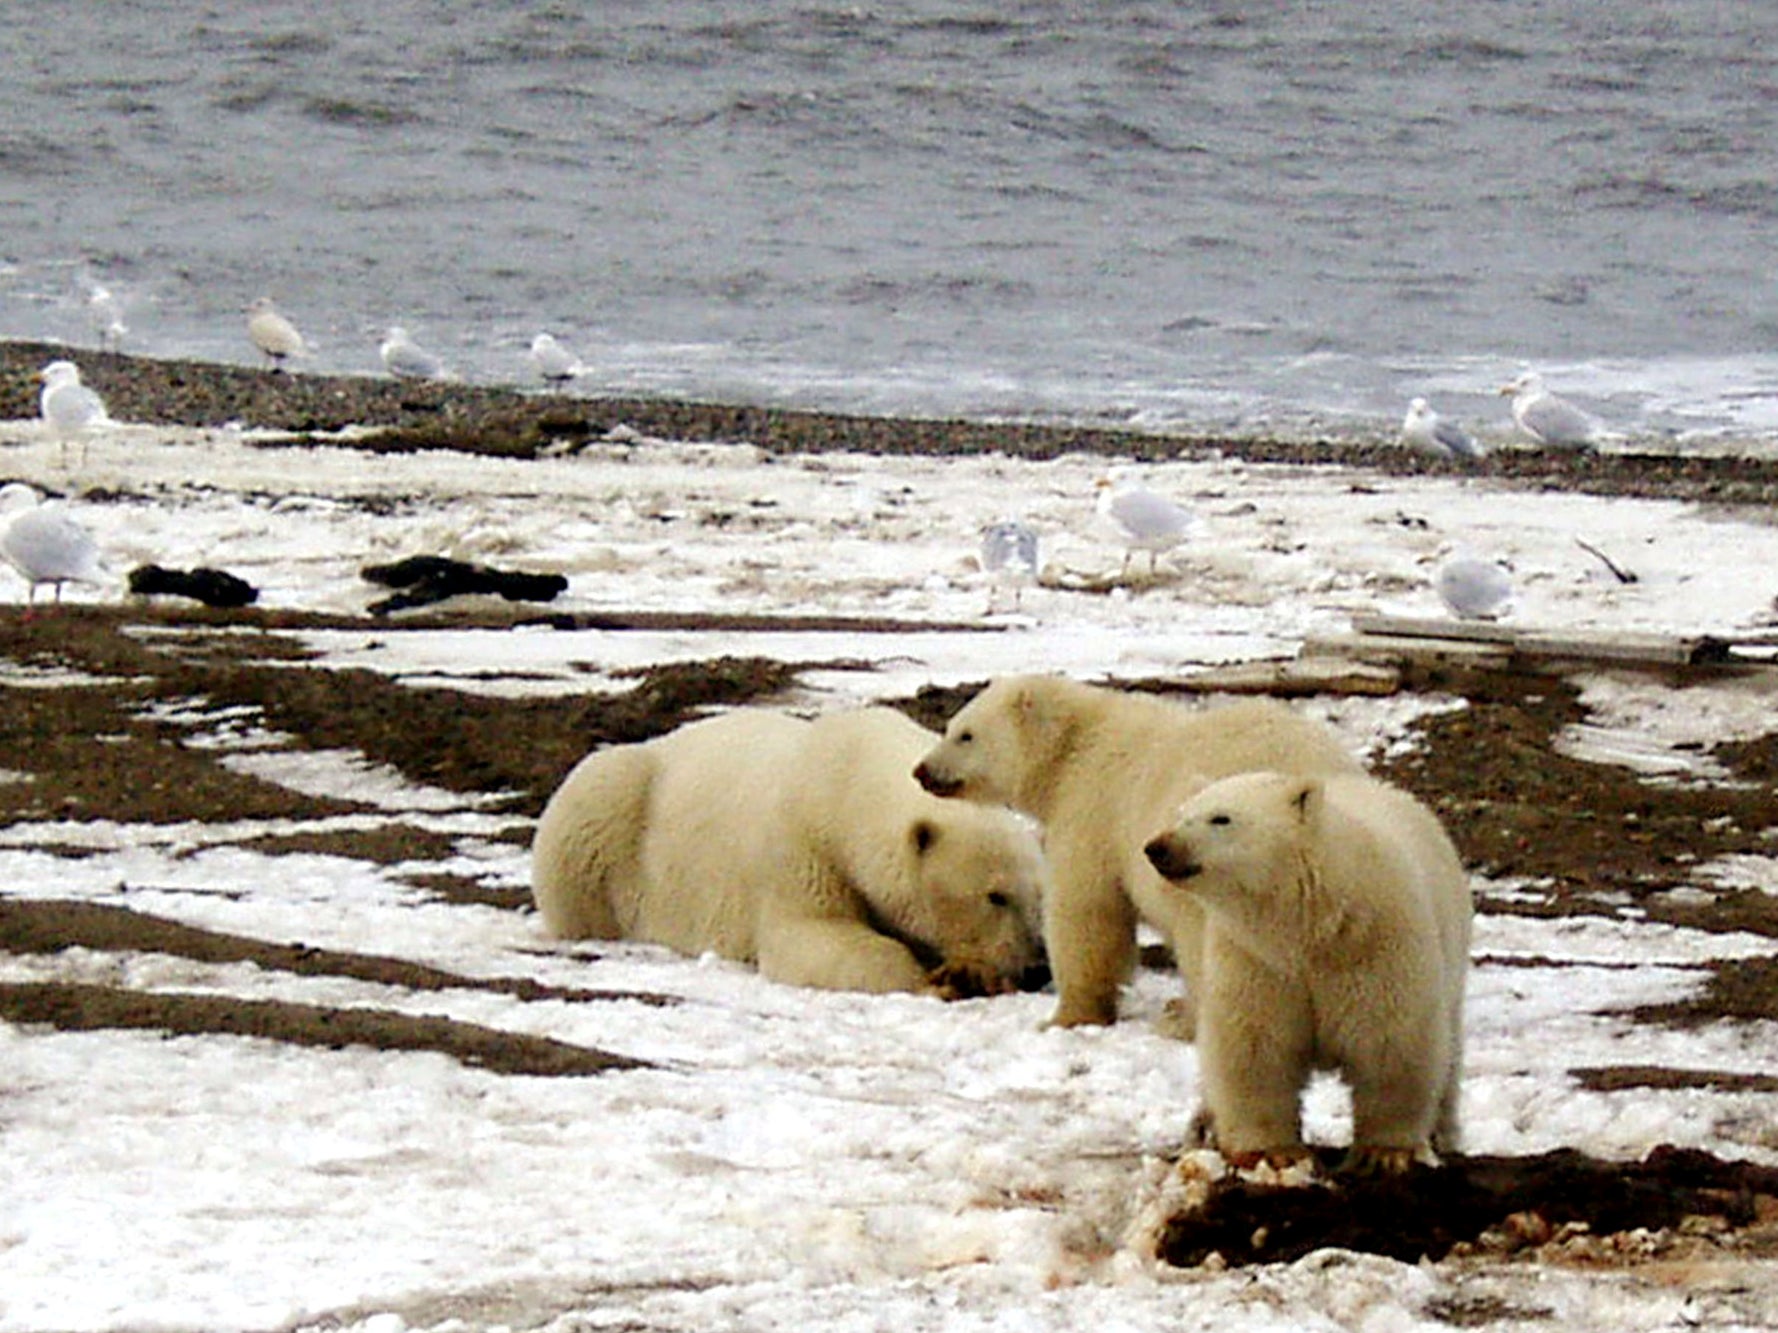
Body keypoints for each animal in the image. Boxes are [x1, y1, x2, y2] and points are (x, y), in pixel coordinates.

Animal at [532, 706, 1047, 997]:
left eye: (1038, 896)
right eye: (995, 895)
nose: (1036, 967)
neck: (848, 780)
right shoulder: (802, 846)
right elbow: (811, 936)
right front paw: (939, 980)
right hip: (614, 809)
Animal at [912, 674, 1363, 1030]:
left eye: (965, 734)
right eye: (951, 726)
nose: (922, 771)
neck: (1075, 745)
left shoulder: (1095, 807)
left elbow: (1088, 910)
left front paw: (1068, 1016)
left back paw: (1185, 1019)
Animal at [1142, 770, 1472, 1174]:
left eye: (1221, 818)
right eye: (1180, 813)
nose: (1157, 847)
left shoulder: (1377, 946)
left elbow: (1390, 1041)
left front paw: (1385, 1152)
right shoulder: (1255, 960)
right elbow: (1254, 1045)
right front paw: (1272, 1152)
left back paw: (1443, 1135)